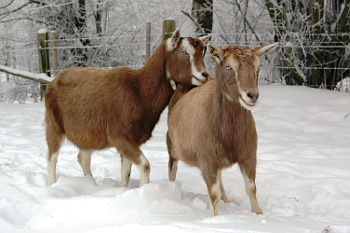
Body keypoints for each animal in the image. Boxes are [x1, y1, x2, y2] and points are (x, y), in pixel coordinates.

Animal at [42, 28, 209, 186]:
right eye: (183, 52)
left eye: (203, 52)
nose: (205, 74)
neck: (139, 91)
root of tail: (53, 81)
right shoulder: (119, 136)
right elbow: (145, 166)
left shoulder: (132, 138)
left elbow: (125, 172)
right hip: (54, 124)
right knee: (52, 157)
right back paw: (53, 184)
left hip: (87, 133)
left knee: (83, 158)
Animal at [167, 41, 278, 217]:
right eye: (228, 66)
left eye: (258, 66)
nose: (252, 95)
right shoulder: (207, 159)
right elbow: (213, 195)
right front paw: (214, 218)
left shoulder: (249, 155)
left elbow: (251, 189)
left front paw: (259, 214)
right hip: (172, 144)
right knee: (173, 169)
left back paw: (227, 201)